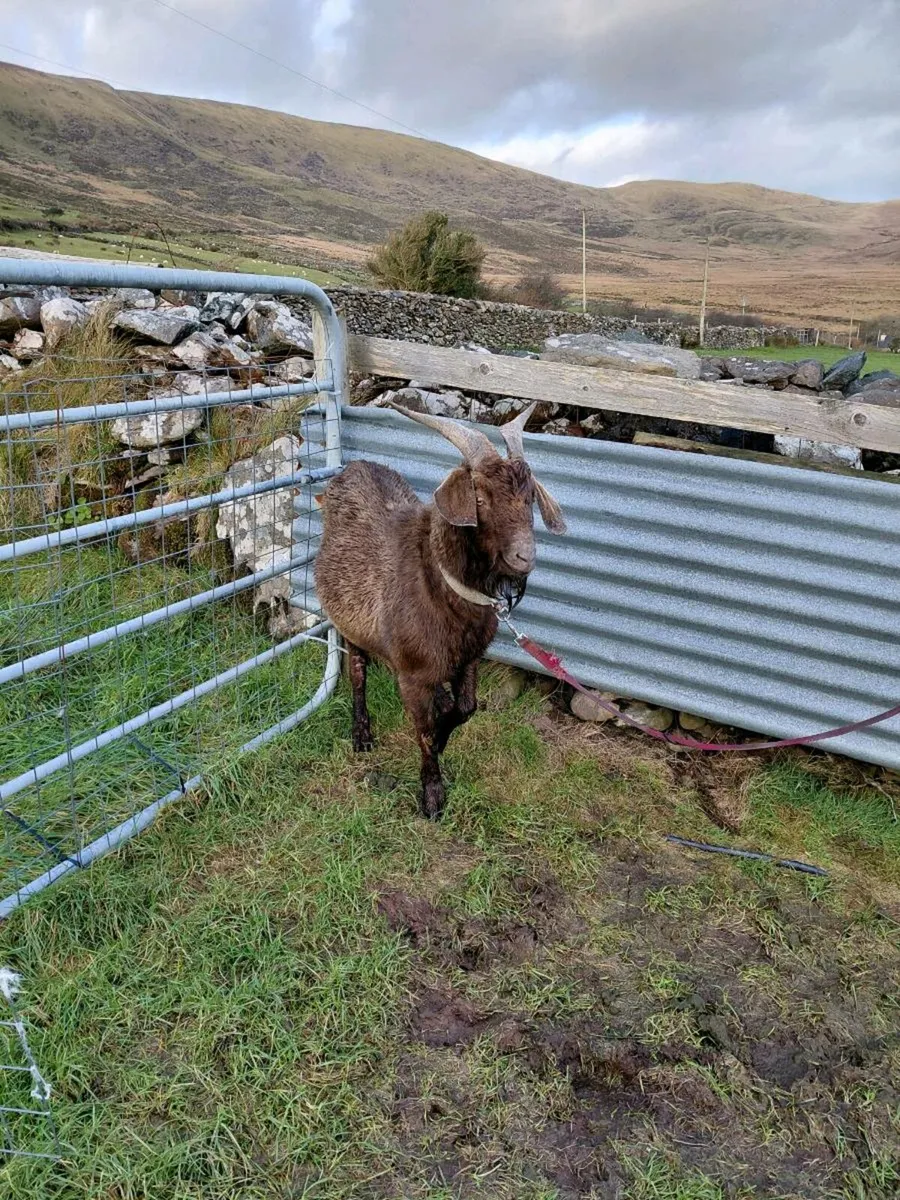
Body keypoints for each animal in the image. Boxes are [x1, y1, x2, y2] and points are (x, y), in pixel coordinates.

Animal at [314, 403, 565, 818]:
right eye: (480, 499)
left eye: (530, 497)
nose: (524, 557)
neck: (440, 582)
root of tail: (352, 469)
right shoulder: (413, 674)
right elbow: (426, 731)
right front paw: (432, 795)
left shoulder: (469, 659)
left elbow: (466, 708)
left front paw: (448, 726)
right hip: (351, 627)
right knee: (358, 674)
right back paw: (362, 734)